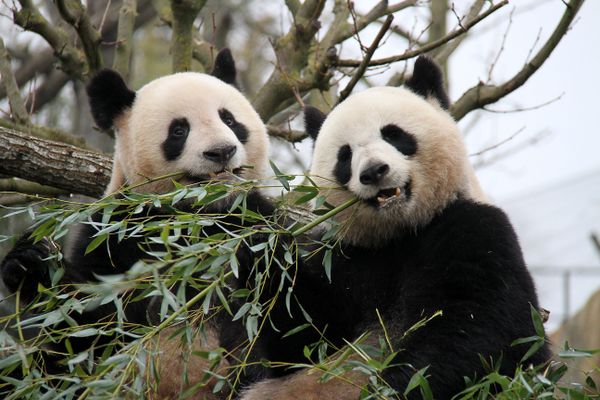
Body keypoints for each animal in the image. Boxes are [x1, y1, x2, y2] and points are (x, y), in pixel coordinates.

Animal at [0, 48, 274, 398]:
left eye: (229, 120)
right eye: (179, 131)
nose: (221, 151)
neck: (195, 215)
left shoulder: (259, 222)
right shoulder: (116, 234)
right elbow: (88, 326)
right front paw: (30, 263)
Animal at [237, 55, 552, 396]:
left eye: (393, 134)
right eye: (345, 155)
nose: (374, 171)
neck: (401, 232)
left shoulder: (475, 230)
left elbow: (490, 329)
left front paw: (391, 386)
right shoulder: (346, 259)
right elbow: (298, 333)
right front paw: (241, 217)